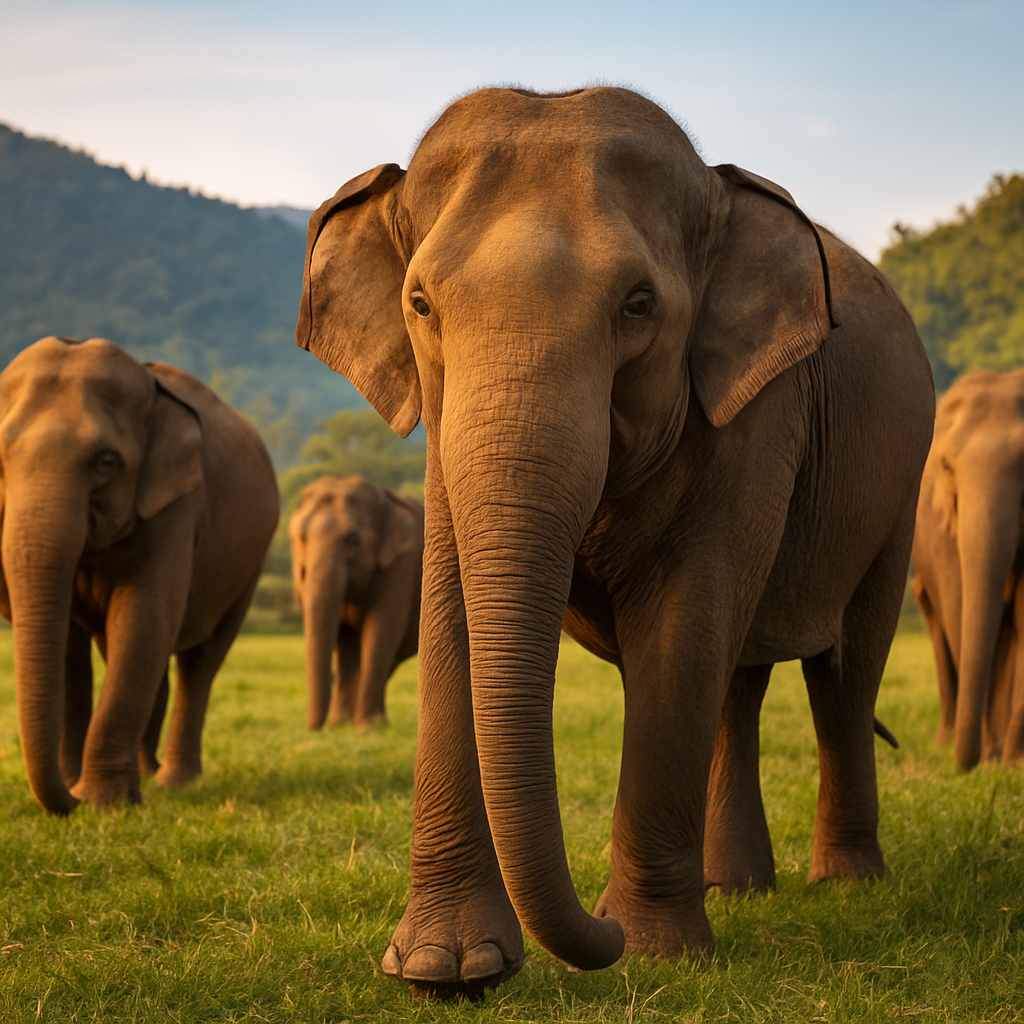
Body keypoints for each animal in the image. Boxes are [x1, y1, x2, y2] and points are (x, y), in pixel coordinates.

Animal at [0, 336, 279, 815]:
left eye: (106, 461)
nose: (70, 803)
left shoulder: (176, 506)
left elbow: (142, 617)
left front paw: (103, 802)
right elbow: (74, 646)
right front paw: (82, 789)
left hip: (250, 567)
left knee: (200, 661)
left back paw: (176, 782)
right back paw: (146, 774)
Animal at [288, 474, 423, 730]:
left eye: (353, 539)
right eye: (300, 537)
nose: (311, 730)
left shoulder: (401, 566)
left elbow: (381, 629)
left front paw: (367, 729)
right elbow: (344, 638)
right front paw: (340, 725)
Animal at [912, 368, 1024, 770]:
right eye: (947, 467)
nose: (969, 763)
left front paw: (1014, 762)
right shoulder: (941, 523)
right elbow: (959, 605)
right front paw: (992, 757)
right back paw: (948, 743)